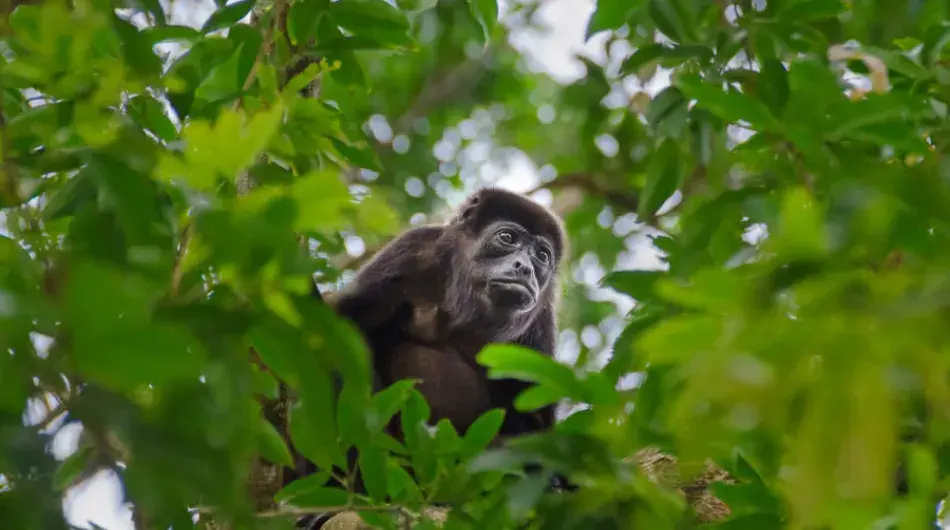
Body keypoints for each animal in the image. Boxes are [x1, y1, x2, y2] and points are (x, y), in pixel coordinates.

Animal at [285, 188, 570, 528]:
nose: (525, 268)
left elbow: (535, 419)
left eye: (542, 256)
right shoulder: (412, 250)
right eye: (507, 237)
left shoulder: (540, 319)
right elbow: (342, 331)